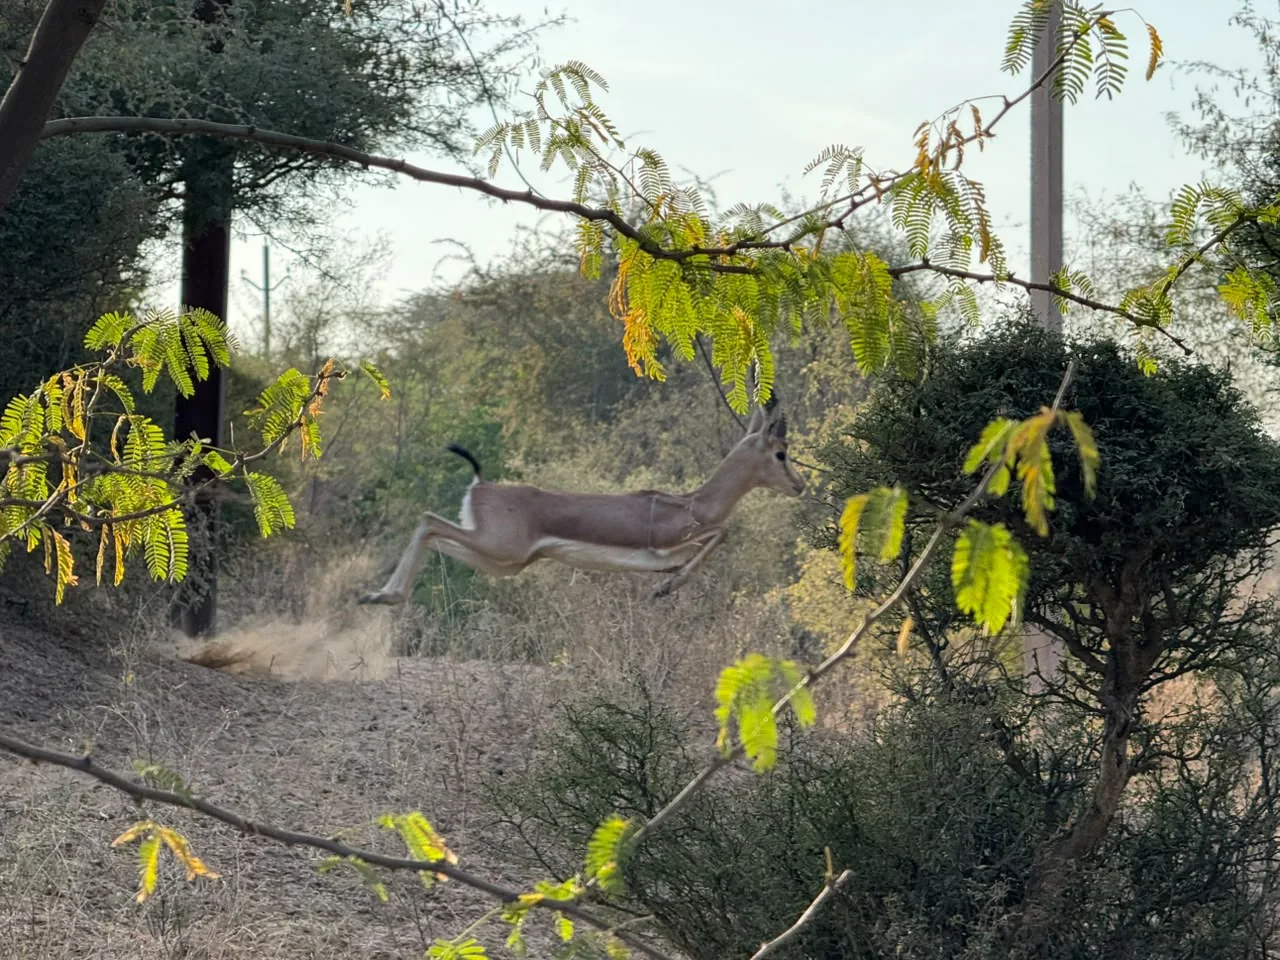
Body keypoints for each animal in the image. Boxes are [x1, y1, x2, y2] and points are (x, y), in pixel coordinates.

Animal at [358, 395, 805, 605]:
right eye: (780, 452)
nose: (800, 485)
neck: (692, 504)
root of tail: (480, 486)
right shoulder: (668, 543)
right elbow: (721, 533)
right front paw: (664, 589)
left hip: (502, 562)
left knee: (433, 534)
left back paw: (379, 597)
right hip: (497, 548)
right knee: (427, 520)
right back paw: (379, 596)